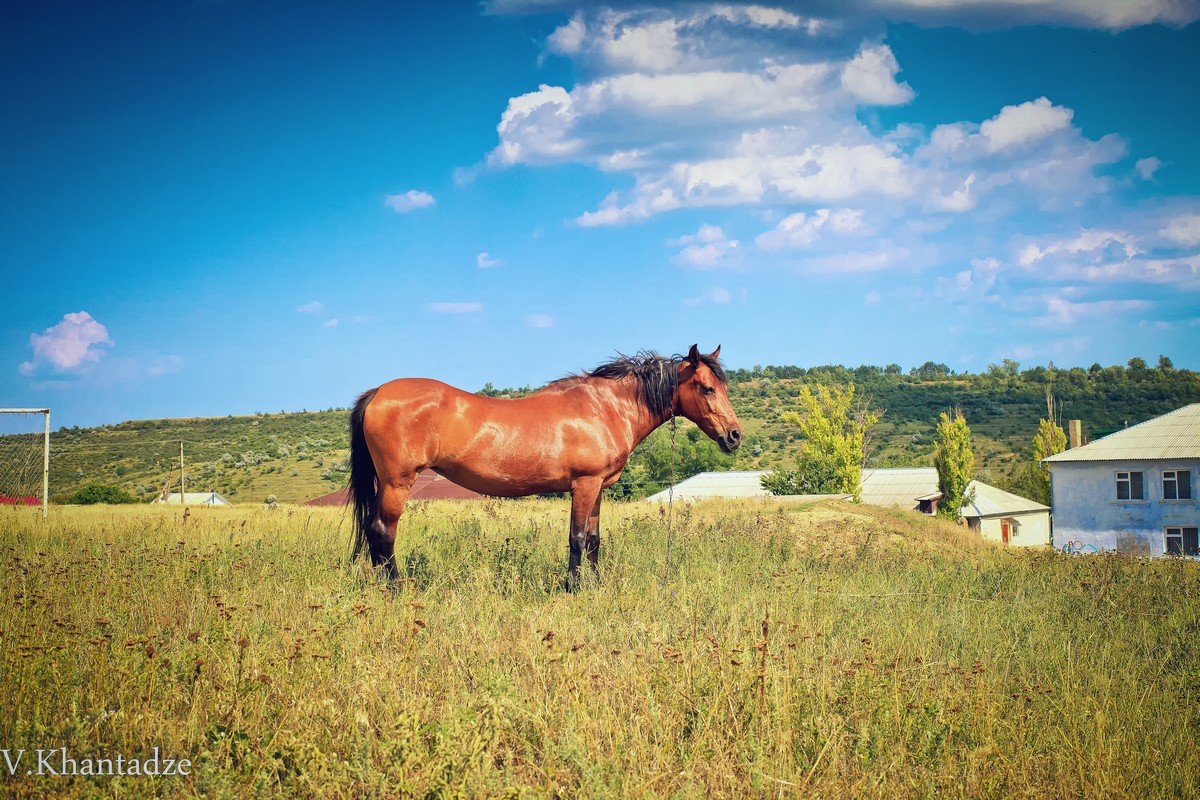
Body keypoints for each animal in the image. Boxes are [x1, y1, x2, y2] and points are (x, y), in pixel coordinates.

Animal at [348, 345, 739, 587]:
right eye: (706, 388)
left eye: (721, 386)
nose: (734, 435)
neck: (604, 408)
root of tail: (378, 393)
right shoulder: (584, 484)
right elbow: (577, 539)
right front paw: (573, 588)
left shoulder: (598, 488)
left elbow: (594, 540)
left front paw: (596, 586)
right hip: (398, 483)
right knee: (383, 532)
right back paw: (397, 590)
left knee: (372, 531)